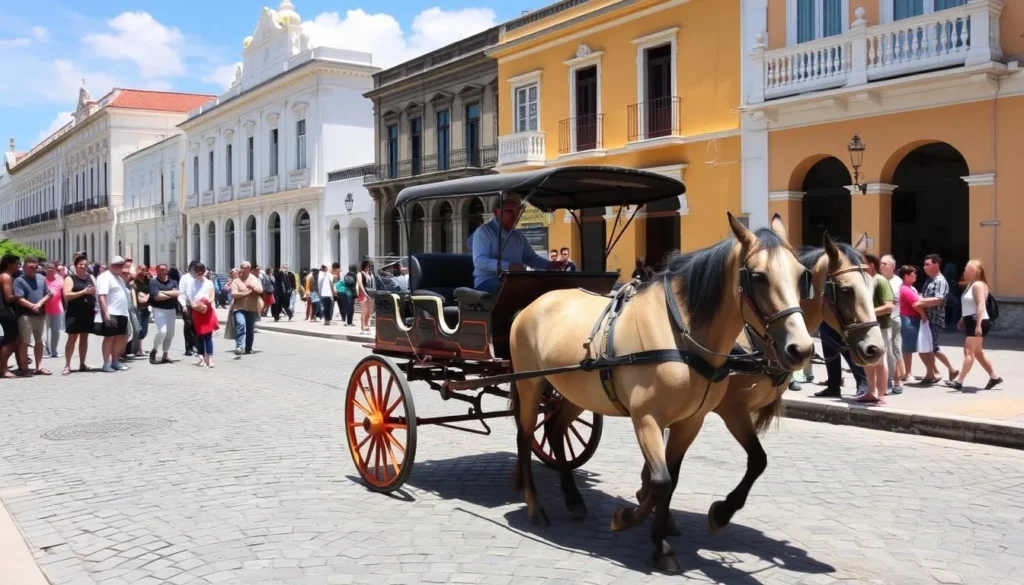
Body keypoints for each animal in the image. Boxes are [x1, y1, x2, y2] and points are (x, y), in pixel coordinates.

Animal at [508, 213, 815, 572]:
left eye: (802, 276)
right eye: (758, 277)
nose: (802, 349)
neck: (682, 333)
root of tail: (532, 305)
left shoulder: (691, 421)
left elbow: (676, 476)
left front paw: (670, 534)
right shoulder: (647, 419)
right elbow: (660, 481)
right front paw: (629, 520)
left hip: (576, 391)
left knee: (556, 429)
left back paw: (572, 497)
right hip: (530, 384)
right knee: (525, 437)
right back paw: (534, 505)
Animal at [633, 230, 887, 538]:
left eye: (873, 288)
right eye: (846, 290)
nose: (874, 349)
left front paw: (652, 501)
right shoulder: (731, 408)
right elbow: (757, 459)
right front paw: (721, 511)